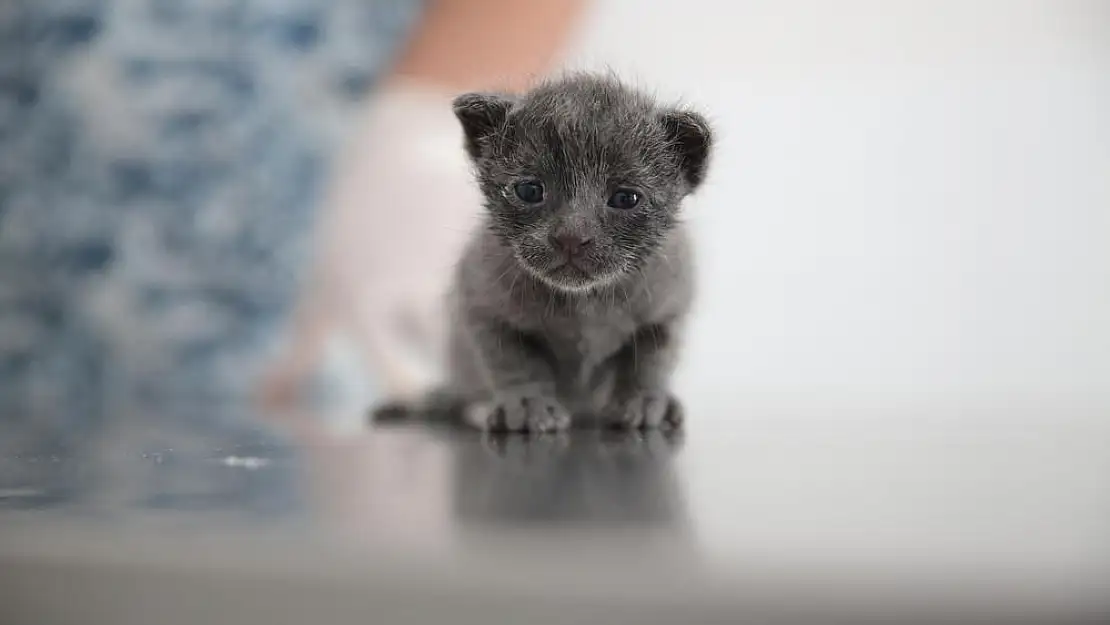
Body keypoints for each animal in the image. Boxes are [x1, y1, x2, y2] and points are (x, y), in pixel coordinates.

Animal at [379, 73, 710, 432]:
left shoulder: (667, 312)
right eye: (529, 190)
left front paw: (645, 401)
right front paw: (526, 405)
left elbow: (651, 362)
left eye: (626, 198)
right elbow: (513, 363)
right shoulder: (482, 306)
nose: (572, 236)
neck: (584, 303)